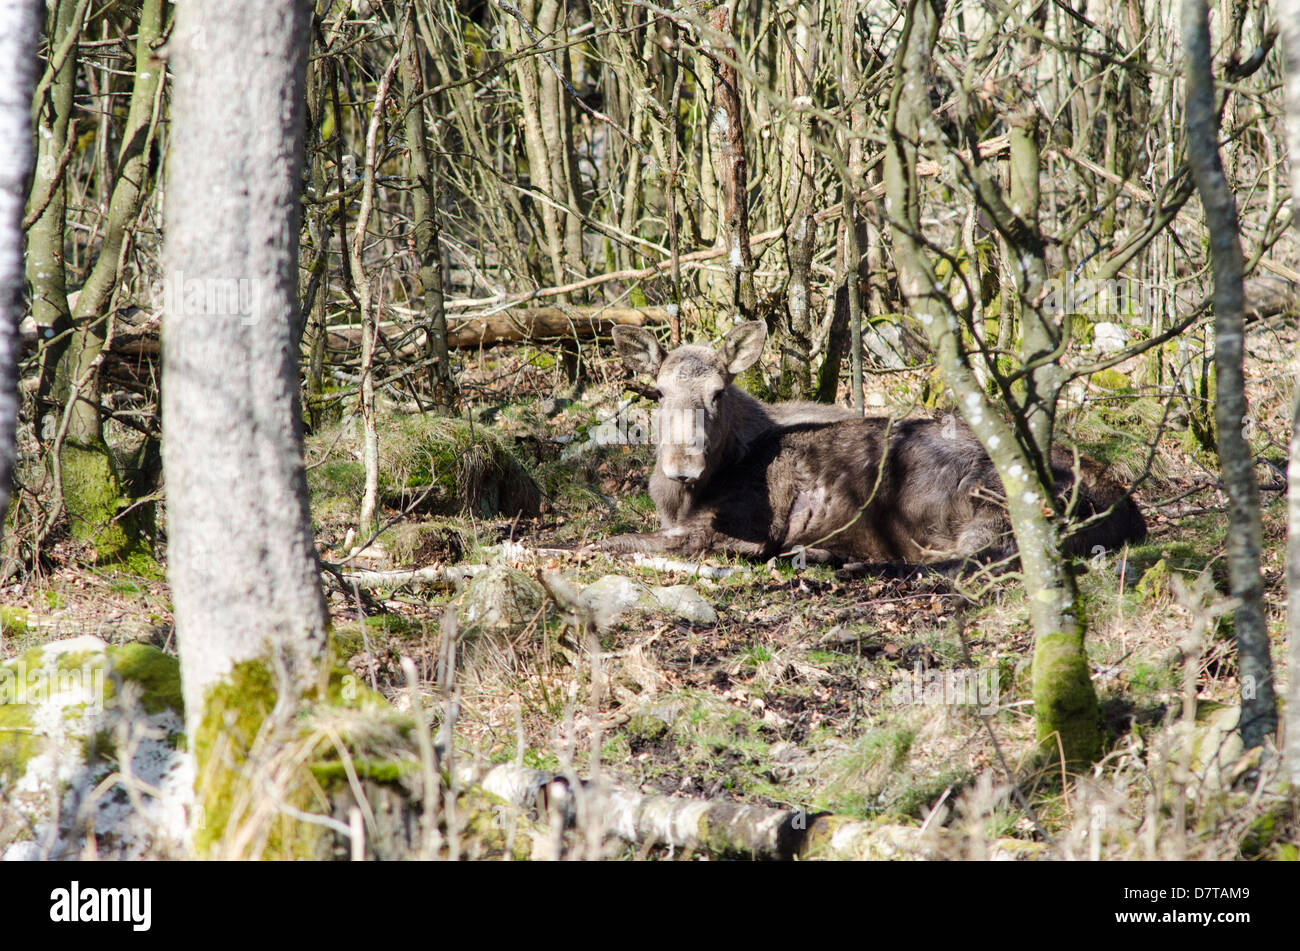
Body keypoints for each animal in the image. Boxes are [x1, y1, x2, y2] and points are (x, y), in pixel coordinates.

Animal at [595, 323, 1144, 569]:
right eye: (658, 393)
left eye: (717, 392)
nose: (681, 465)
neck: (680, 500)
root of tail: (1125, 506)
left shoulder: (749, 524)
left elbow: (615, 540)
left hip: (995, 498)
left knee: (969, 558)